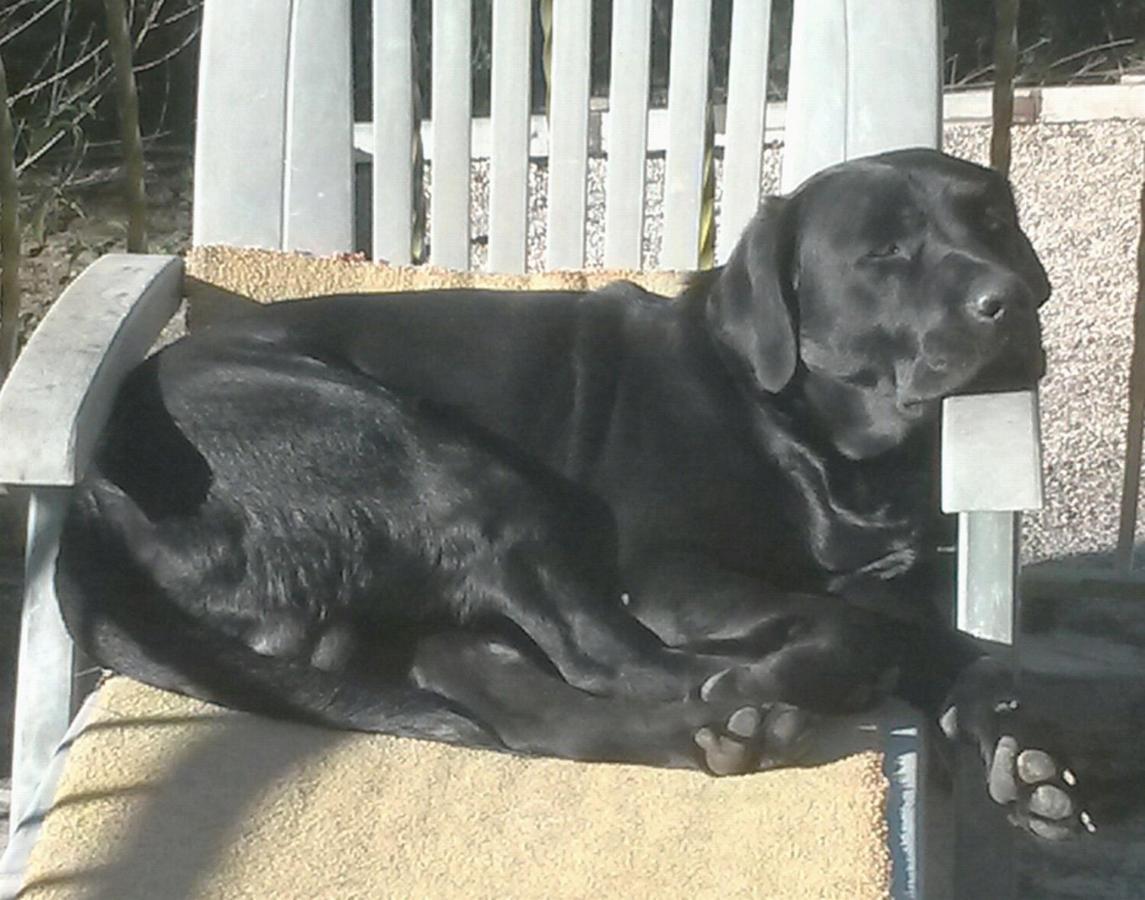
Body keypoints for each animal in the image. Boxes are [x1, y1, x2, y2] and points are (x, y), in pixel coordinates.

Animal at [55, 147, 1080, 833]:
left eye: (994, 221)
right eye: (882, 255)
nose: (1010, 300)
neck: (813, 439)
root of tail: (91, 501)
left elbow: (953, 641)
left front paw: (1012, 742)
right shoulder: (666, 571)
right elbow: (857, 623)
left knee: (536, 711)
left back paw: (714, 735)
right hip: (434, 457)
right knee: (604, 658)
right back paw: (739, 699)